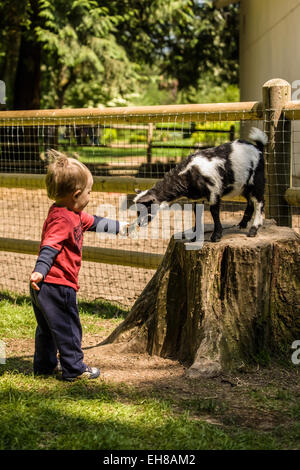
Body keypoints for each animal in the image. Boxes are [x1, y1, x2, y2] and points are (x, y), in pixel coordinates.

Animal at [134, 126, 268, 241]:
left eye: (146, 207)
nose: (139, 223)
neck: (188, 174)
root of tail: (258, 148)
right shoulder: (198, 198)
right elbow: (197, 213)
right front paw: (194, 236)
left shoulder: (214, 191)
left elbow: (214, 212)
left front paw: (216, 236)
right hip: (243, 185)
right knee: (250, 202)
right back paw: (242, 224)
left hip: (256, 180)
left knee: (259, 202)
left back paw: (253, 230)